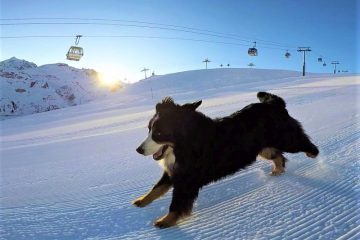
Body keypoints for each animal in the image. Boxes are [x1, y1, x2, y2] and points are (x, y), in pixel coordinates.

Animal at [134, 92, 318, 229]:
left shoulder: (187, 178)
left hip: (286, 138)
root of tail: (274, 104)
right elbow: (157, 188)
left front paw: (165, 221)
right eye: (149, 129)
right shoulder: (173, 170)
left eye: (158, 133)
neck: (185, 144)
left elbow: (177, 203)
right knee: (278, 156)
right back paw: (277, 171)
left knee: (302, 142)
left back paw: (314, 154)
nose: (138, 150)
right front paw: (141, 201)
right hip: (263, 148)